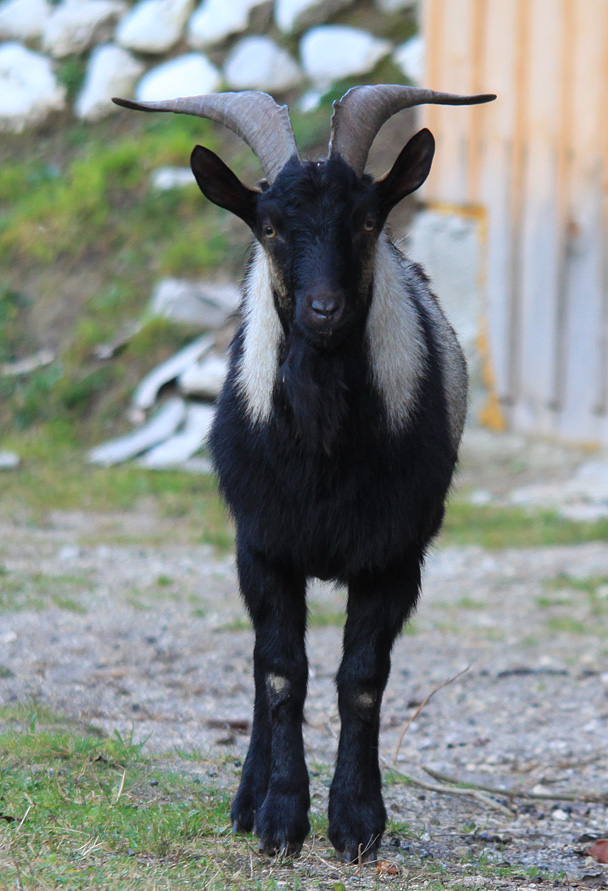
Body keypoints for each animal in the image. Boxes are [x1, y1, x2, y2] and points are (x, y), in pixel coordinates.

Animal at [113, 85, 494, 864]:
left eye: (368, 219)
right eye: (269, 227)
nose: (325, 310)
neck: (322, 451)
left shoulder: (393, 554)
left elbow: (362, 678)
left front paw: (356, 819)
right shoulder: (263, 544)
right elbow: (282, 670)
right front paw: (281, 816)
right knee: (264, 667)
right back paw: (247, 797)